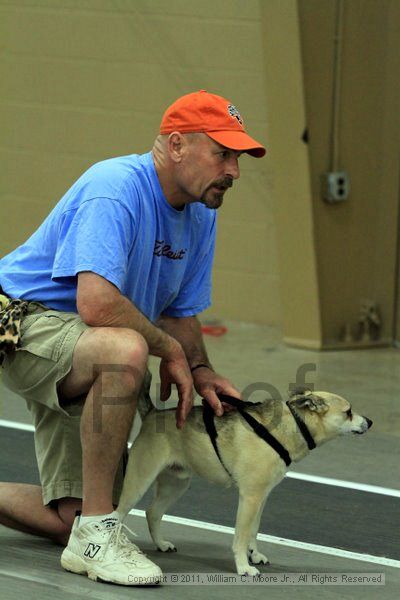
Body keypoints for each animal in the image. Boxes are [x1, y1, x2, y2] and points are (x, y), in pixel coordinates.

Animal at [117, 390, 374, 576]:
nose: (370, 422)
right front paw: (243, 566)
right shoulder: (250, 498)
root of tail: (152, 414)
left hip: (176, 484)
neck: (290, 428)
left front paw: (255, 554)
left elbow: (253, 530)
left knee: (153, 512)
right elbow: (240, 537)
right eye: (349, 412)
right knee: (120, 512)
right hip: (139, 480)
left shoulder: (261, 497)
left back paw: (161, 543)